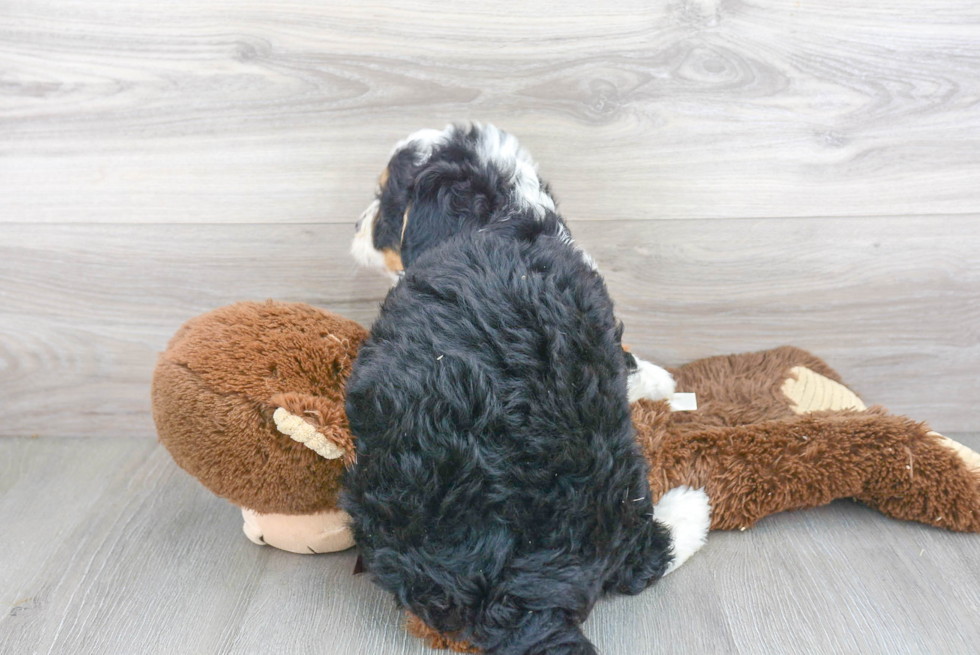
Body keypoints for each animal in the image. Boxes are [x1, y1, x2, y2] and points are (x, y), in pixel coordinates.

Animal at [340, 217, 708, 655]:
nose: (356, 228)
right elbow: (629, 362)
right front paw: (659, 379)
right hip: (611, 467)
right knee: (641, 555)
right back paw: (690, 511)